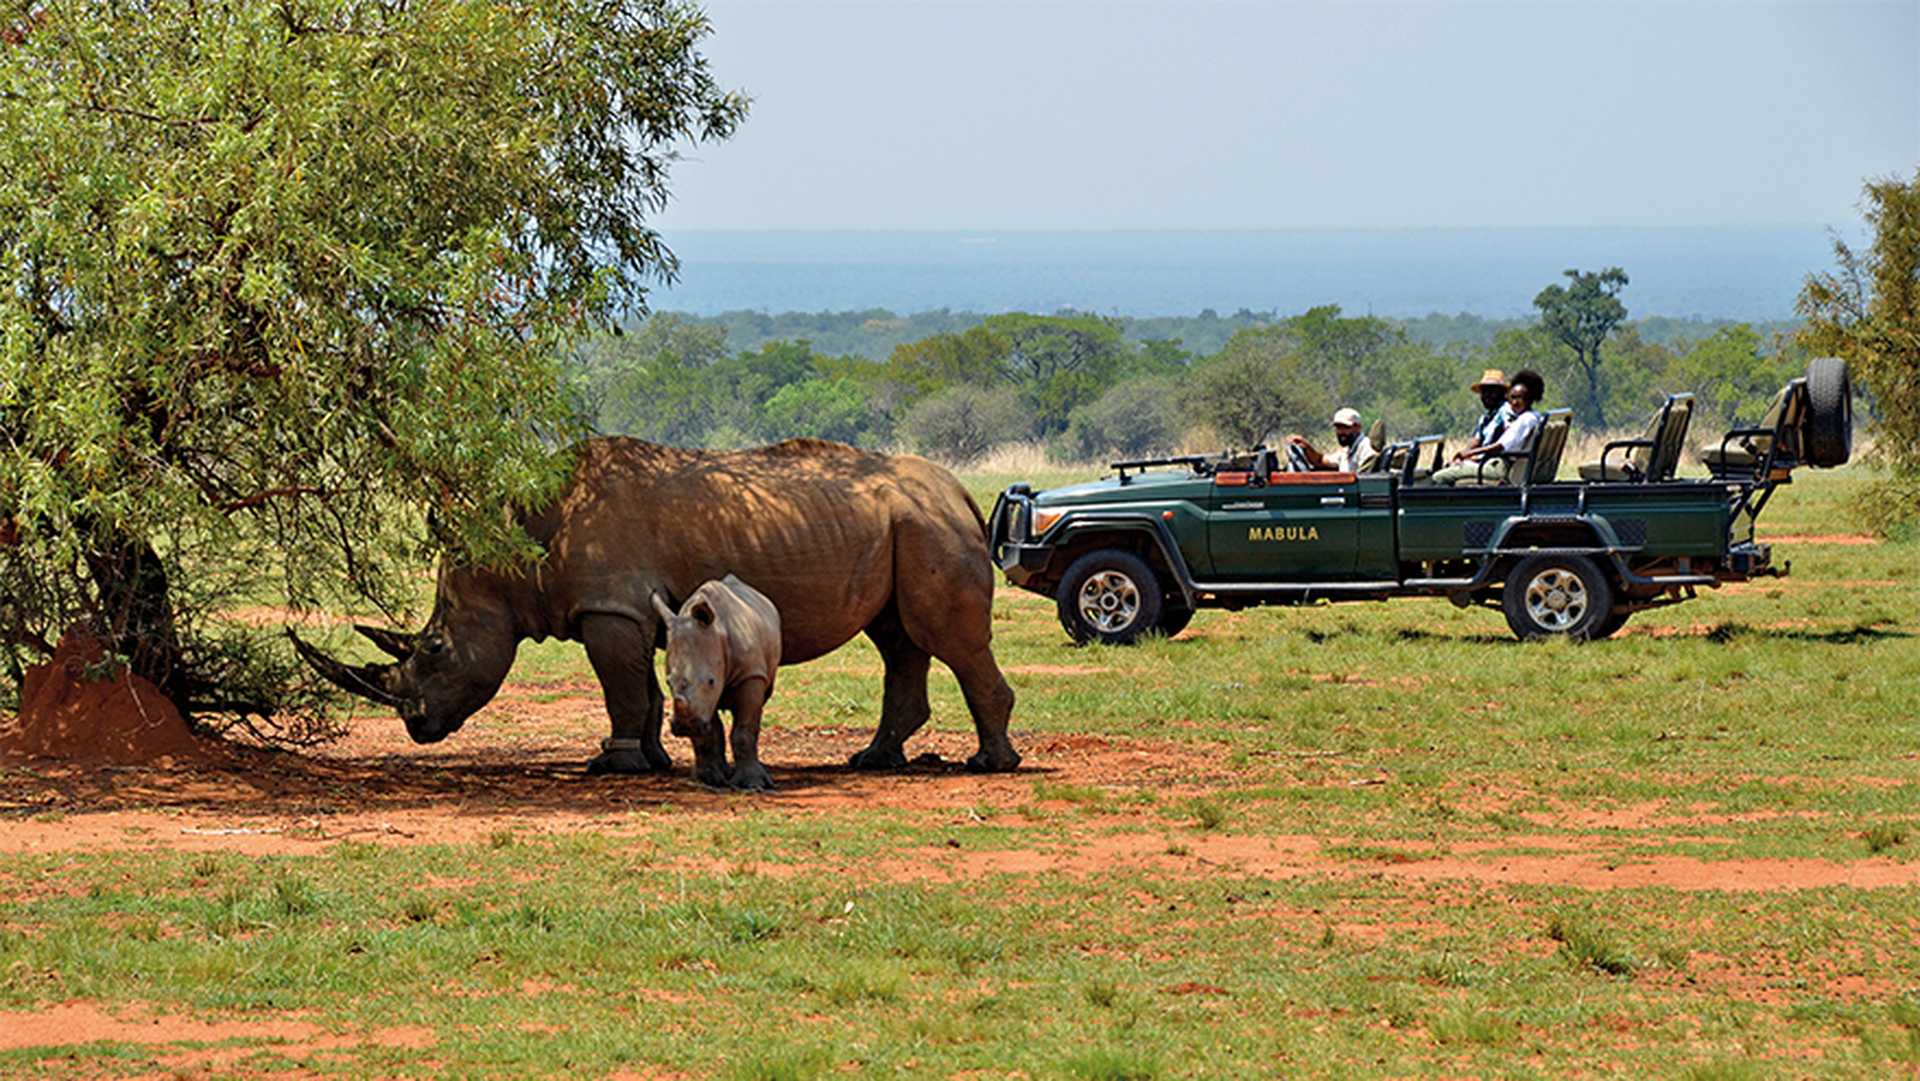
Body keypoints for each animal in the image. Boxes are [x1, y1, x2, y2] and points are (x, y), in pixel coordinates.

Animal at [291, 437, 1020, 776]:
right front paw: (652, 759)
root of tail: (960, 490)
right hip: (905, 523)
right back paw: (874, 760)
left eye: (436, 649)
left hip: (925, 525)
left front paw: (613, 765)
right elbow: (640, 687)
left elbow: (620, 685)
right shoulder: (627, 610)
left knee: (945, 640)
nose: (416, 725)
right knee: (897, 637)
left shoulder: (608, 608)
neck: (519, 549)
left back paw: (990, 764)